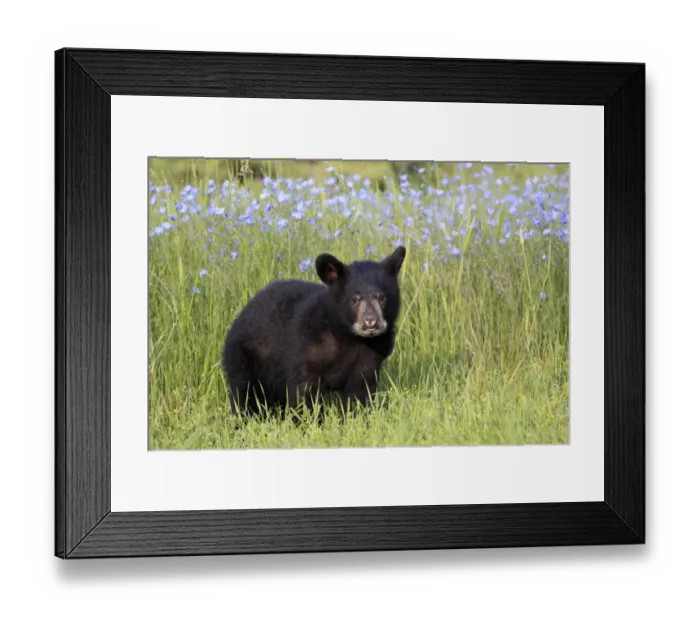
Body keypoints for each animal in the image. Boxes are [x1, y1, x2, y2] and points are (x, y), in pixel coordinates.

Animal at [221, 245, 406, 419]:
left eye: (382, 297)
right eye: (354, 299)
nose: (370, 322)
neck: (348, 337)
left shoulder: (371, 354)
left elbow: (360, 390)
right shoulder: (306, 345)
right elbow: (303, 391)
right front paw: (308, 422)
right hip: (245, 357)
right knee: (243, 392)